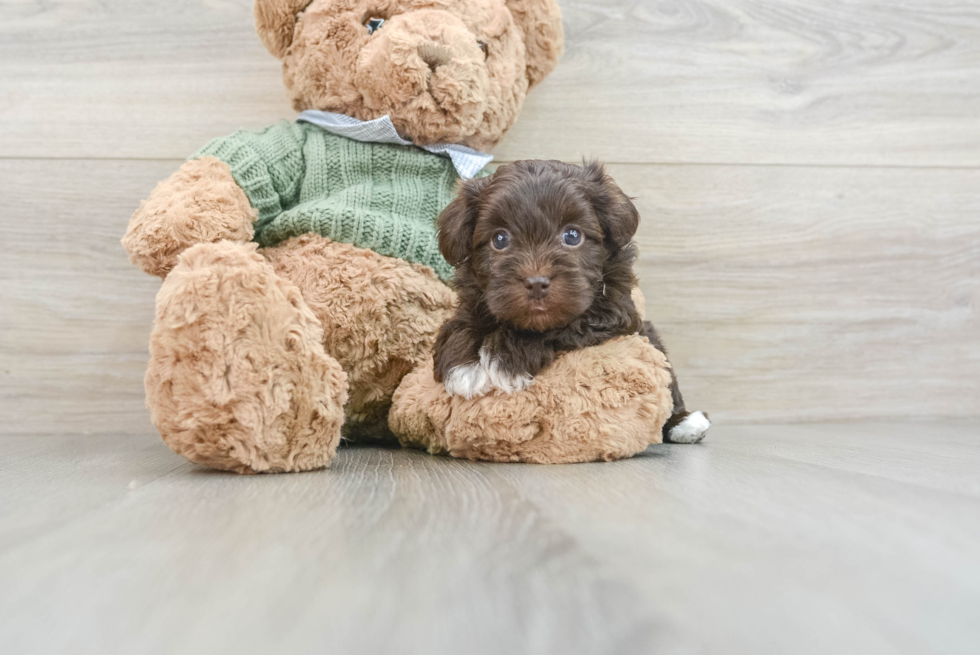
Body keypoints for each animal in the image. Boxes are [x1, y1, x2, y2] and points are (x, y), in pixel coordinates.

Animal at [432, 160, 708, 446]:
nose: (537, 282)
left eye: (572, 236)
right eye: (500, 239)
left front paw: (504, 360)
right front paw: (463, 366)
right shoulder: (476, 300)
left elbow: (560, 327)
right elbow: (463, 322)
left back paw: (686, 423)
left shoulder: (612, 313)